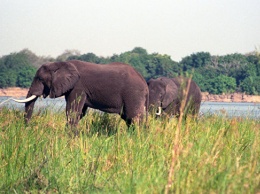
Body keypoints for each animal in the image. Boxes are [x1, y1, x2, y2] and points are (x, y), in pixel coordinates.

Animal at [12, 59, 149, 131]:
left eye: (40, 79)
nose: (27, 128)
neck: (61, 64)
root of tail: (144, 82)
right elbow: (79, 113)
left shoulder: (78, 87)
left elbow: (73, 111)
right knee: (129, 118)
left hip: (133, 93)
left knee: (133, 117)